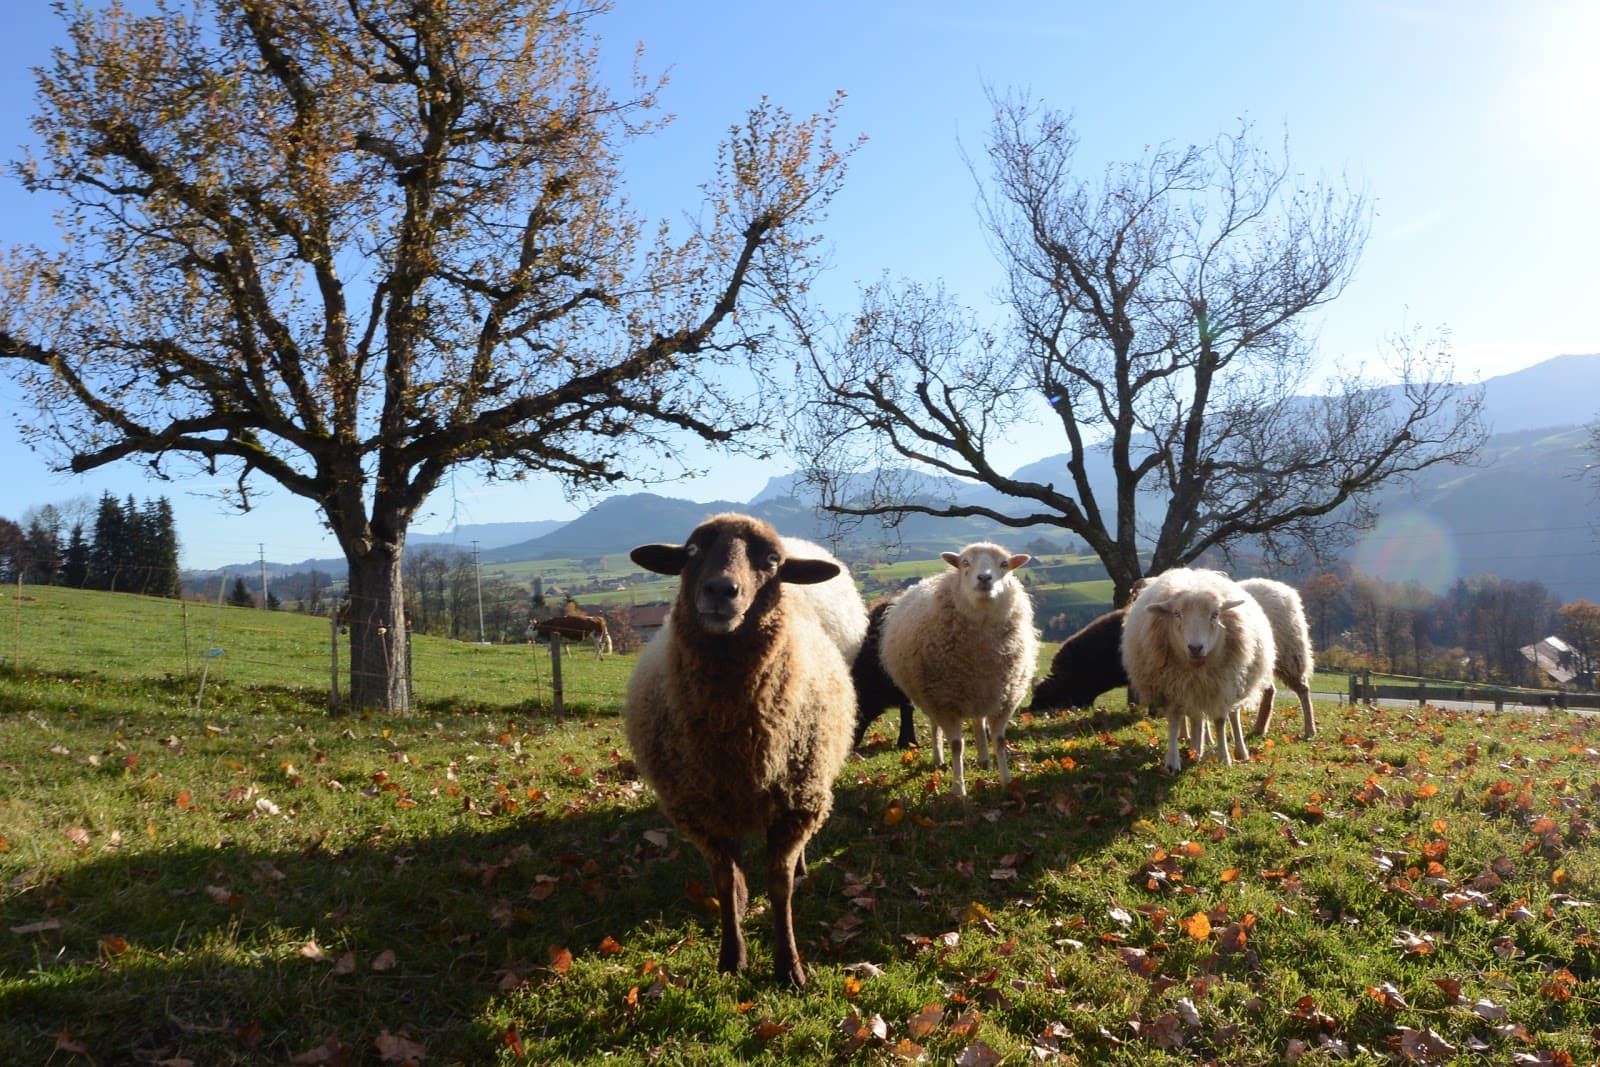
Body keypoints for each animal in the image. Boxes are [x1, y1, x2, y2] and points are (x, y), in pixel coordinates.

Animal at [620, 511, 857, 991]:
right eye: (692, 551)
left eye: (771, 561)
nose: (719, 590)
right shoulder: (699, 811)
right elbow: (724, 882)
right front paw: (732, 957)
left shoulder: (796, 805)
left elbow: (780, 887)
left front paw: (789, 967)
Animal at [876, 543, 1036, 793]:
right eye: (965, 563)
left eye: (1004, 564)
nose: (984, 578)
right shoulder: (944, 702)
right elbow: (956, 745)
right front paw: (958, 789)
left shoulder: (1004, 700)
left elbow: (999, 741)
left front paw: (1006, 781)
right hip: (932, 698)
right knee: (935, 727)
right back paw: (939, 759)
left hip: (980, 694)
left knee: (979, 722)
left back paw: (984, 759)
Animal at [1126, 572, 1273, 771]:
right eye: (1176, 614)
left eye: (1215, 614)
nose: (1195, 648)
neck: (1197, 667)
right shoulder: (1171, 687)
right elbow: (1175, 721)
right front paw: (1172, 761)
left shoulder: (1221, 688)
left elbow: (1220, 721)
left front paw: (1224, 757)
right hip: (1192, 690)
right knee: (1196, 717)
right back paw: (1196, 750)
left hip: (1233, 685)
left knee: (1233, 716)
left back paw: (1239, 751)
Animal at [1228, 575, 1318, 742]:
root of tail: (1286, 590)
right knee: (1270, 690)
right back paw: (1259, 728)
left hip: (1289, 654)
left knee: (1303, 690)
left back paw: (1310, 730)